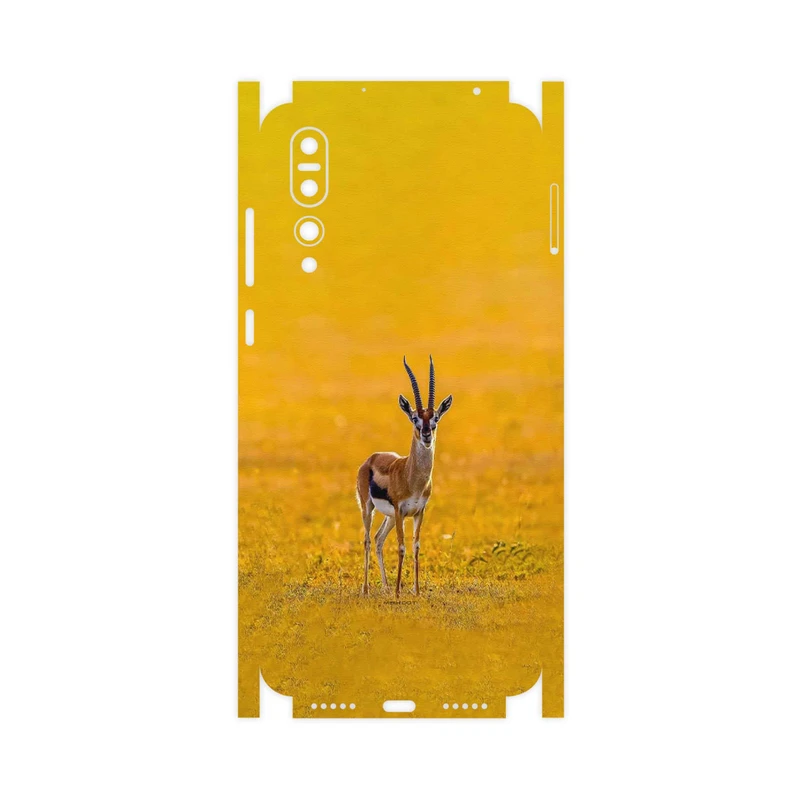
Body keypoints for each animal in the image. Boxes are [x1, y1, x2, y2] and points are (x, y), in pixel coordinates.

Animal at [356, 356, 453, 597]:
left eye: (435, 418)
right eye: (414, 418)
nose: (426, 434)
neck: (413, 479)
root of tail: (371, 458)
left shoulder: (419, 512)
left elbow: (415, 546)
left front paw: (416, 591)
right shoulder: (401, 511)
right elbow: (401, 547)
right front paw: (400, 592)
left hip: (390, 517)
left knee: (378, 539)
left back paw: (385, 587)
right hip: (368, 508)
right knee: (367, 540)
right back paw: (367, 589)